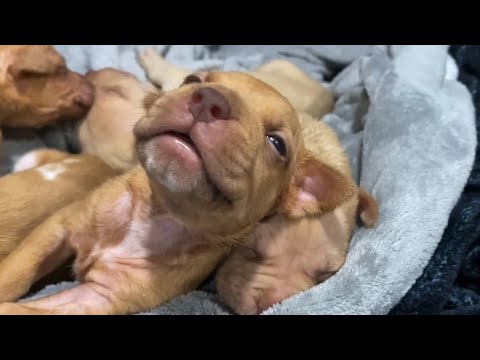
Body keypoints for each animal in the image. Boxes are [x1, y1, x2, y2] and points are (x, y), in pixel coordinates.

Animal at [0, 71, 356, 314]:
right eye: (192, 80)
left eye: (278, 144)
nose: (210, 99)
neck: (159, 214)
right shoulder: (57, 228)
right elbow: (14, 275)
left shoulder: (93, 299)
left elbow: (20, 309)